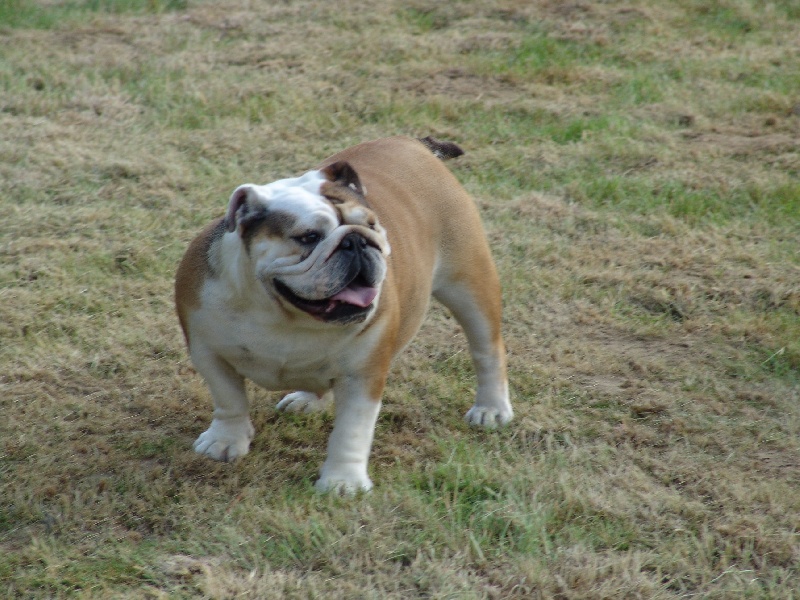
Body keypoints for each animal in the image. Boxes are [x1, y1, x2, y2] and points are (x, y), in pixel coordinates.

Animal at [175, 136, 512, 493]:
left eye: (372, 225)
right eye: (309, 237)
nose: (357, 241)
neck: (283, 313)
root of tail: (416, 143)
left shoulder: (363, 374)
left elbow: (352, 430)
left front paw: (342, 482)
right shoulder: (208, 351)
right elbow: (229, 400)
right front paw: (226, 441)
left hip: (470, 284)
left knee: (487, 350)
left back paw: (491, 408)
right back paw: (307, 399)